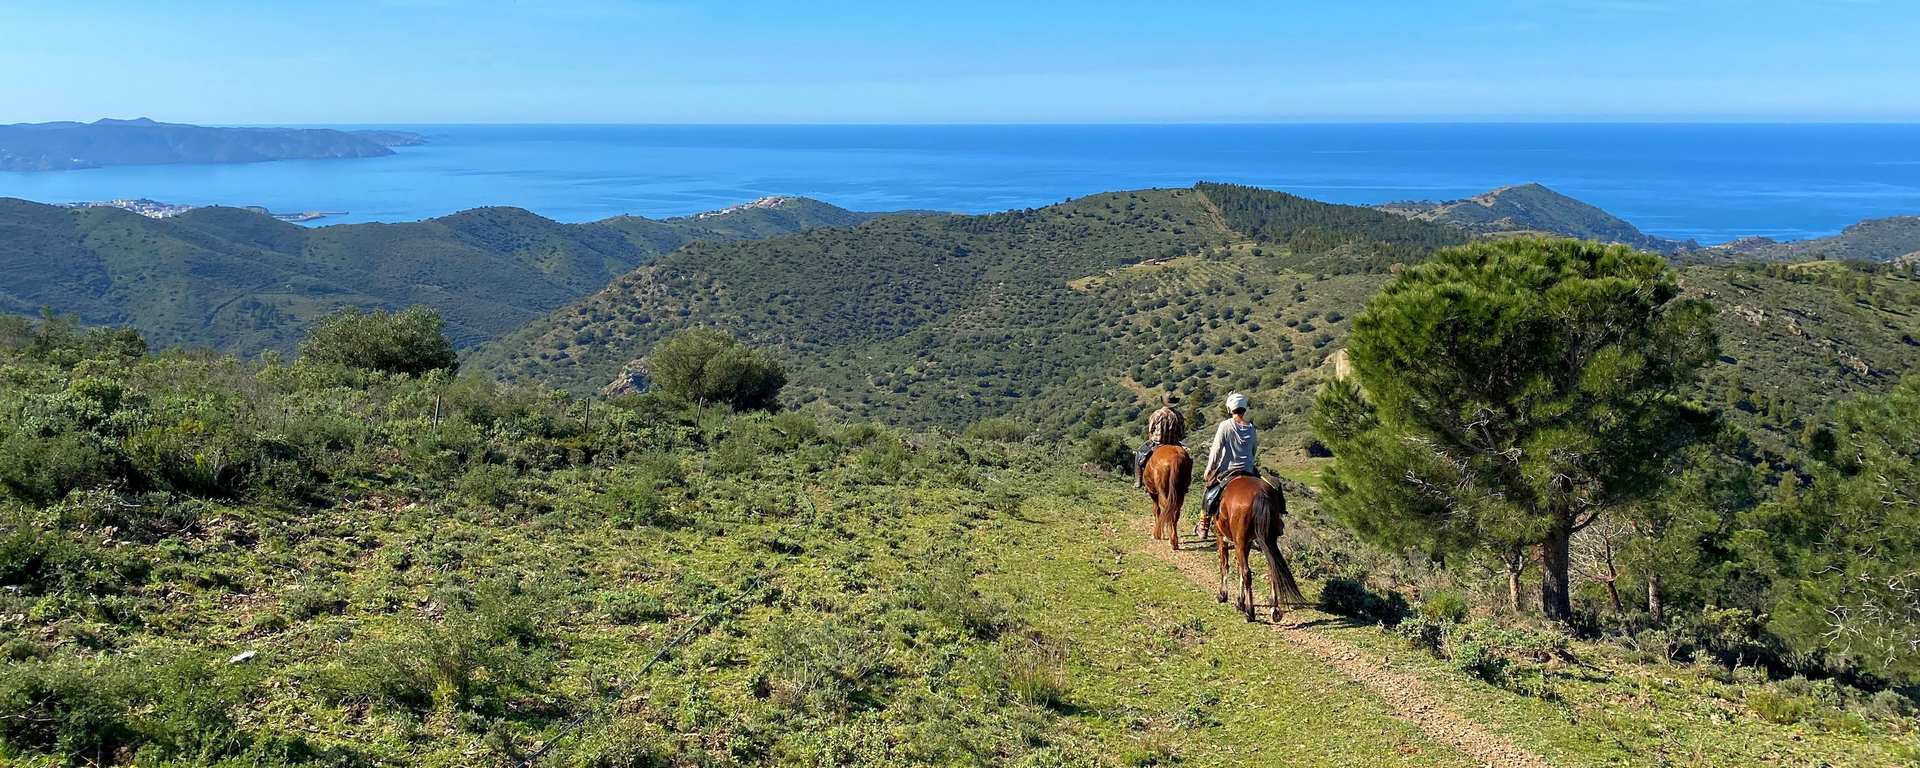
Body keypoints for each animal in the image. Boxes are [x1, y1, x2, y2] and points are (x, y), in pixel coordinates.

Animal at [1213, 476, 1305, 622]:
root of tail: (1261, 494)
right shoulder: (1248, 542)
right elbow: (1238, 568)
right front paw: (1240, 602)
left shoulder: (1221, 537)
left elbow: (1225, 566)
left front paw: (1223, 595)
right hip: (1268, 540)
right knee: (1272, 568)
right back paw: (1275, 609)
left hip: (1239, 542)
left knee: (1247, 572)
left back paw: (1250, 612)